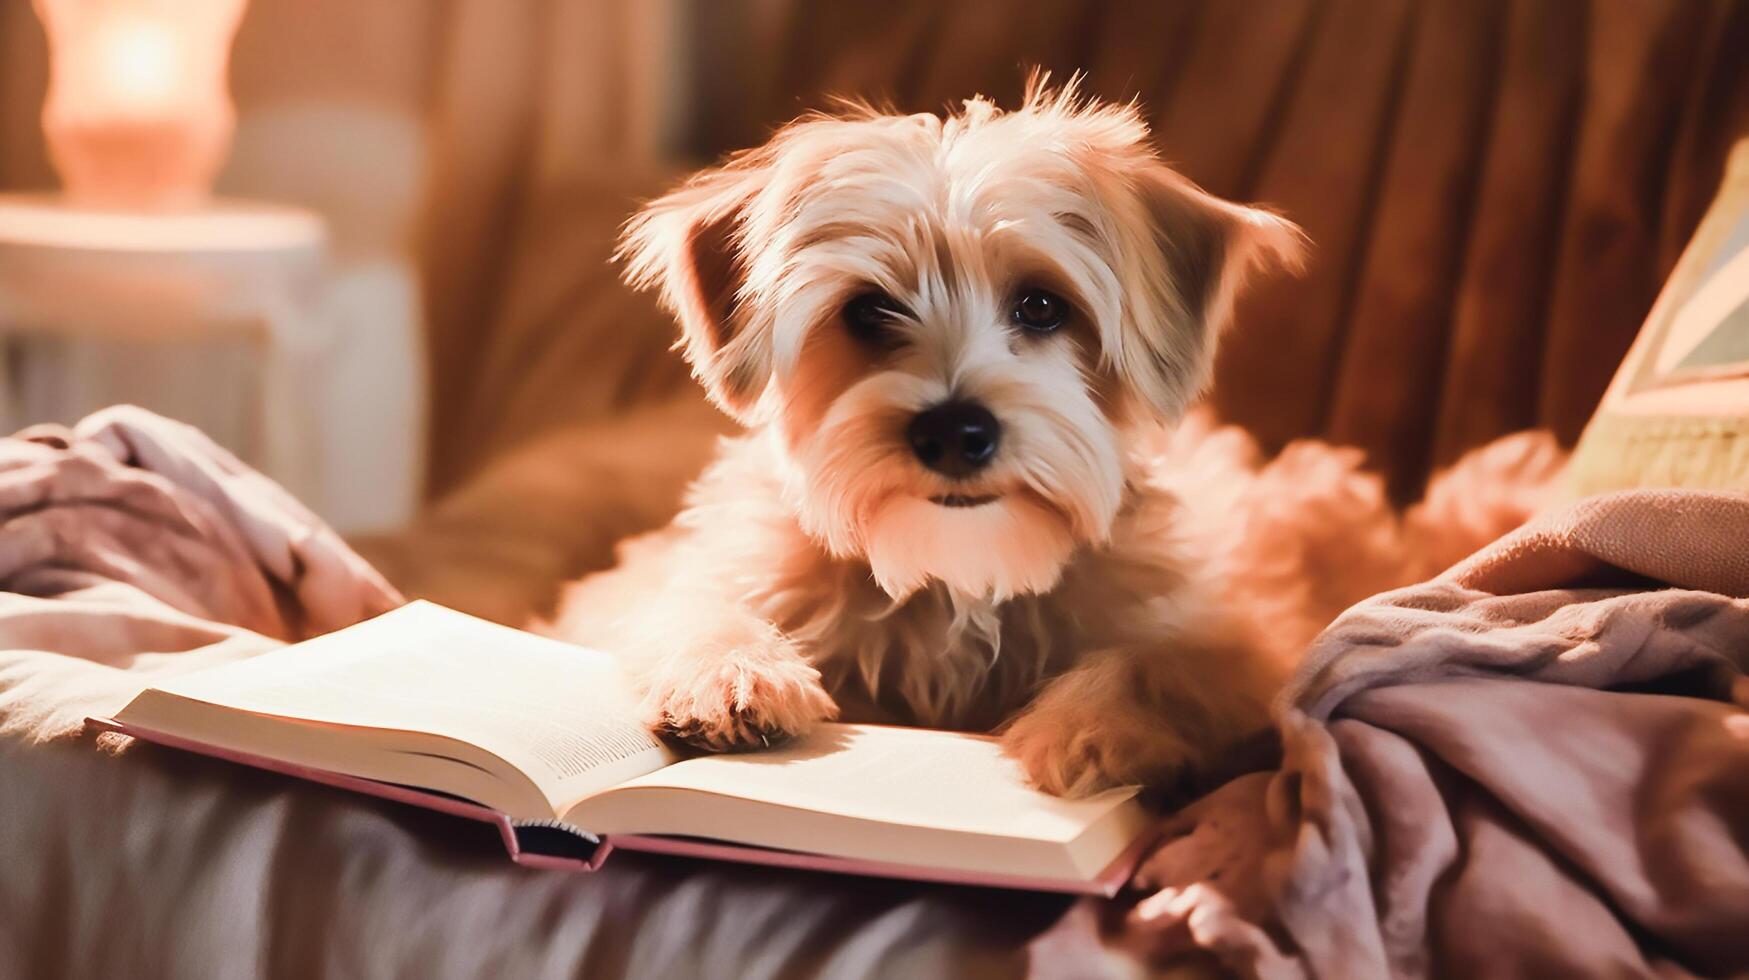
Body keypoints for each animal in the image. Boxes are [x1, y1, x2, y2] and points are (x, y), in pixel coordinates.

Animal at [552, 78, 1567, 798]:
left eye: (1039, 305)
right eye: (868, 310)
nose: (955, 428)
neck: (959, 579)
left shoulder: (1239, 642)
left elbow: (1159, 664)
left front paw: (1083, 725)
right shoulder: (640, 580)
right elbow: (680, 599)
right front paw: (727, 670)